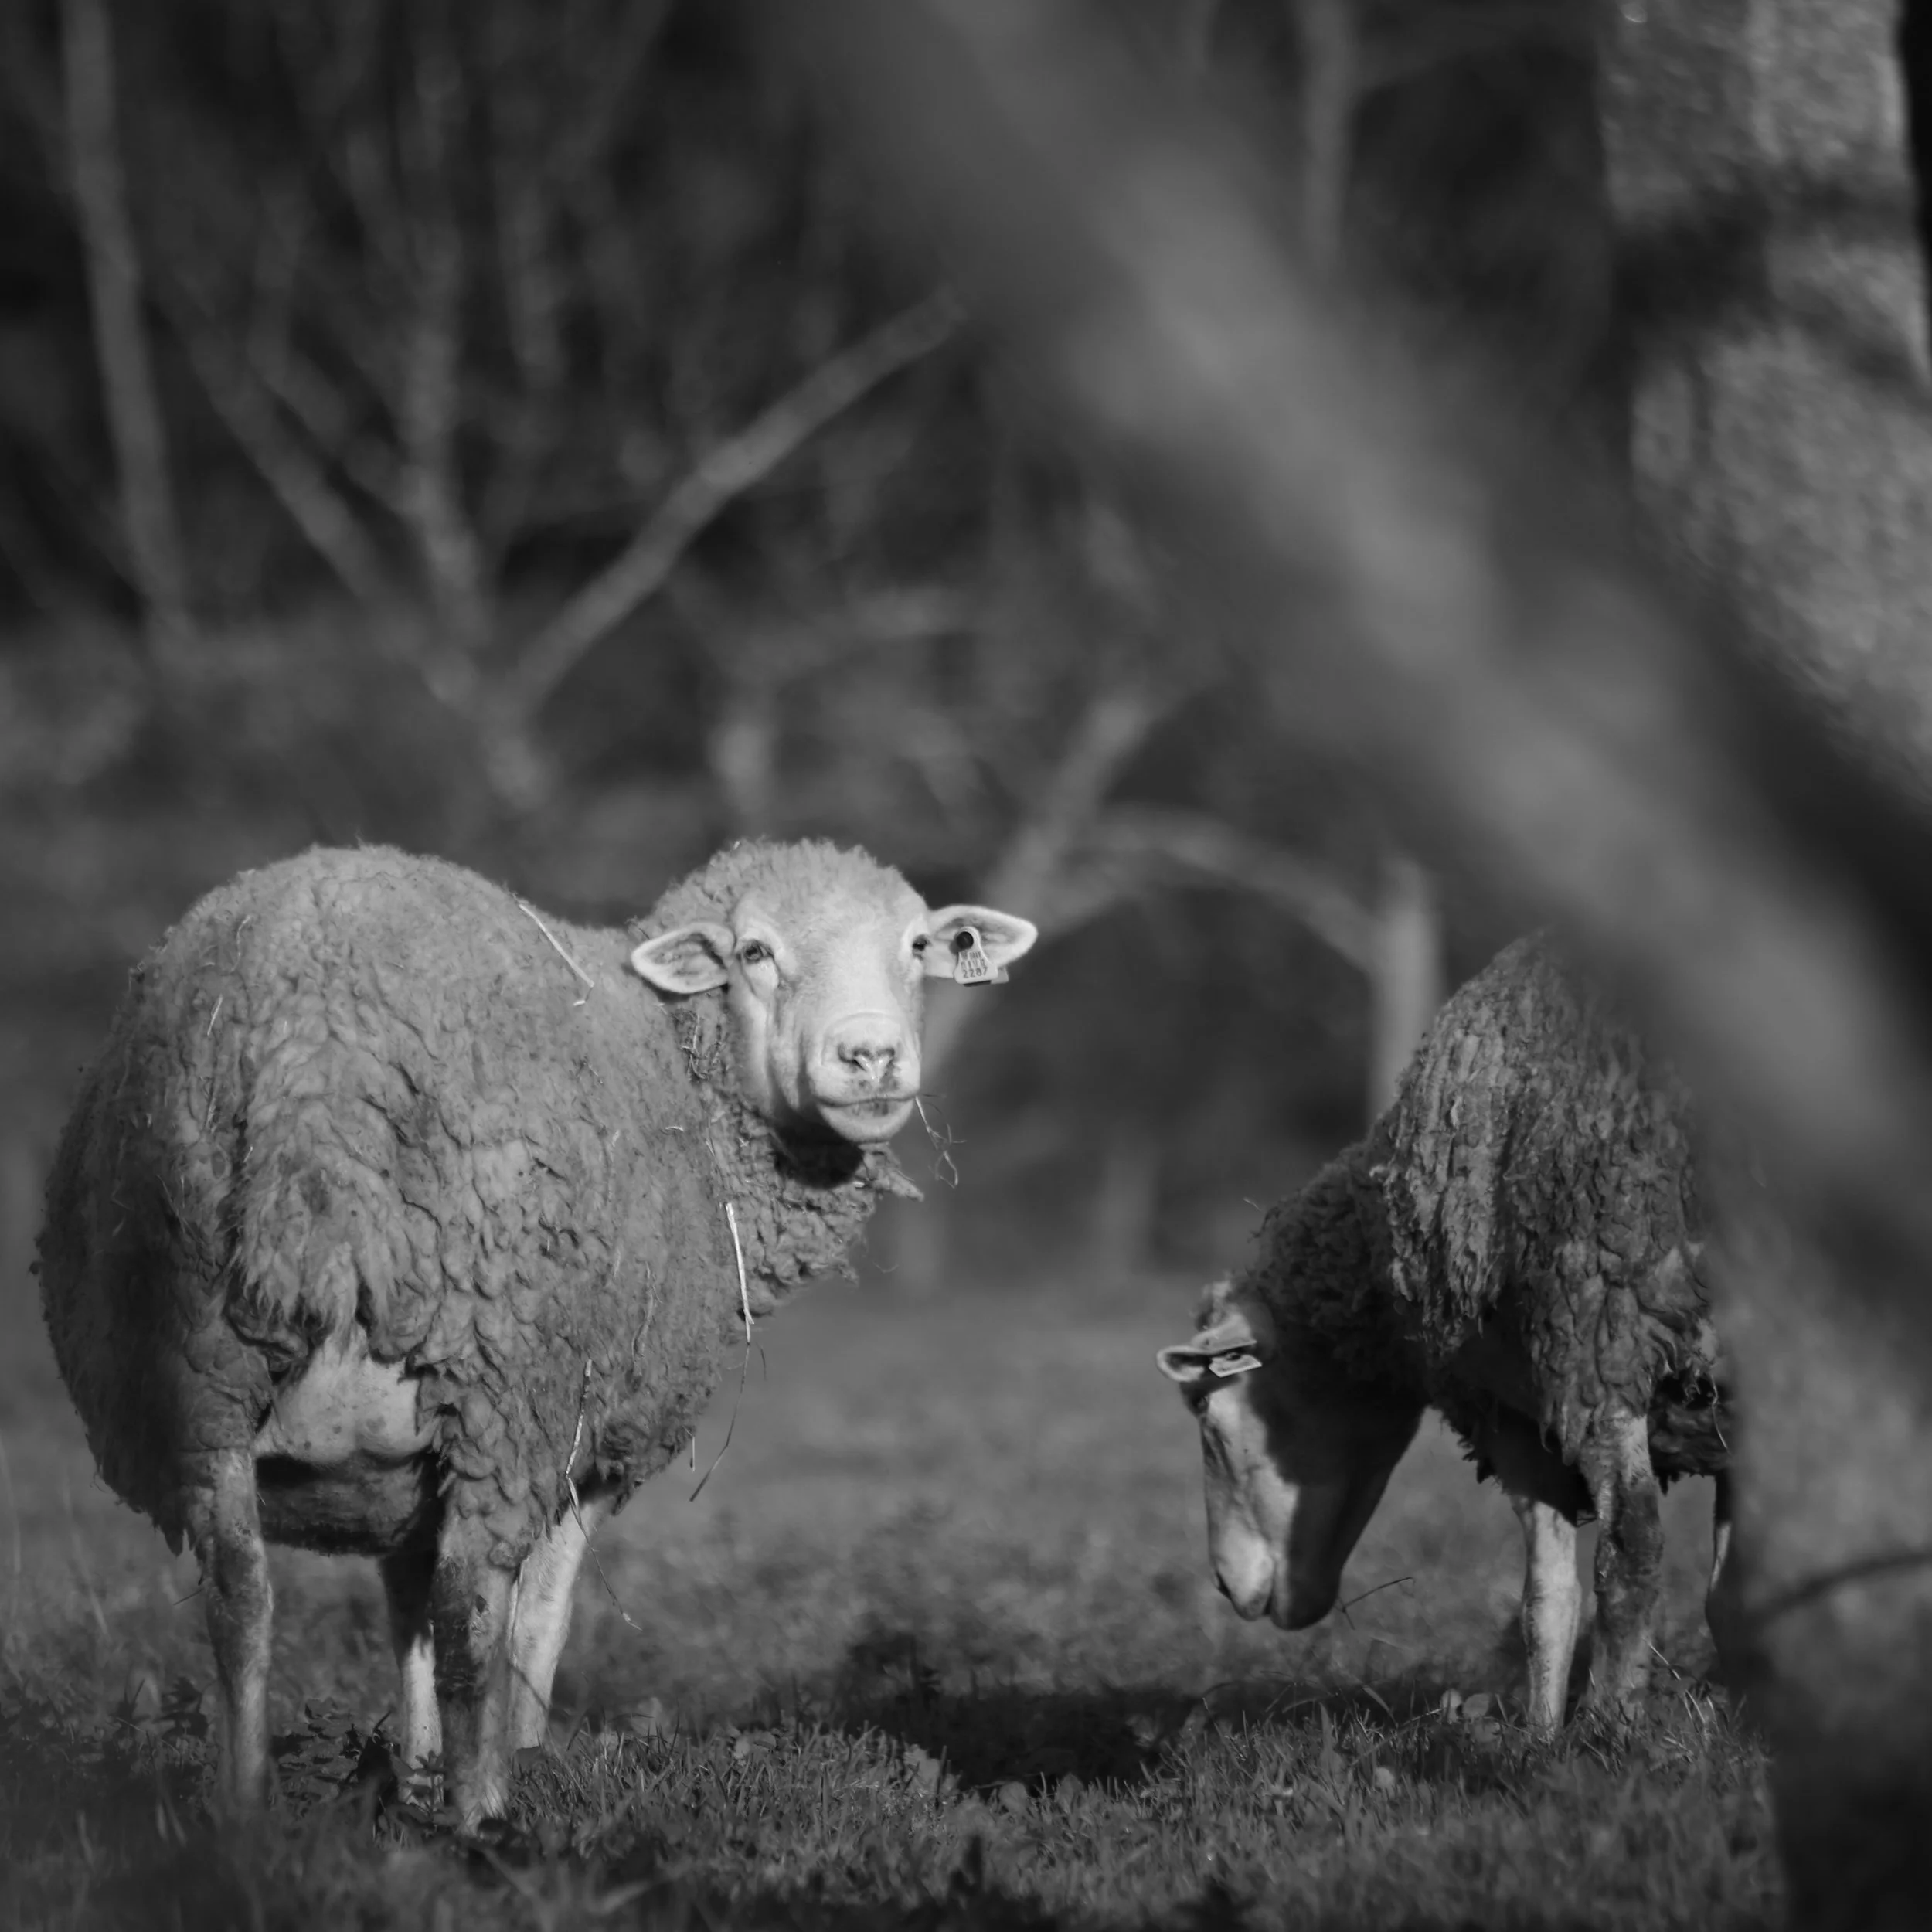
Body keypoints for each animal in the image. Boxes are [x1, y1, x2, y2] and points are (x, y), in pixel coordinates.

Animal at [36, 839, 1036, 1823]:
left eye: (917, 946)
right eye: (755, 952)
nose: (870, 1055)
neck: (682, 1075)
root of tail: (313, 1062)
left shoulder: (407, 1473)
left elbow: (407, 1625)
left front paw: (415, 1785)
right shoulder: (579, 1452)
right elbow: (535, 1622)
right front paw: (508, 1763)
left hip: (195, 1369)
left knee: (240, 1595)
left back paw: (246, 1819)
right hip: (501, 1382)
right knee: (469, 1604)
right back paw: (485, 1818)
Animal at [1157, 935, 1732, 1732]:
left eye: (1209, 1418)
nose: (1222, 1586)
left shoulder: (1512, 1411)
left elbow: (1546, 1600)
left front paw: (1541, 1737)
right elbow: (1725, 1592)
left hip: (1600, 1326)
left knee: (1632, 1544)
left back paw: (1608, 1726)